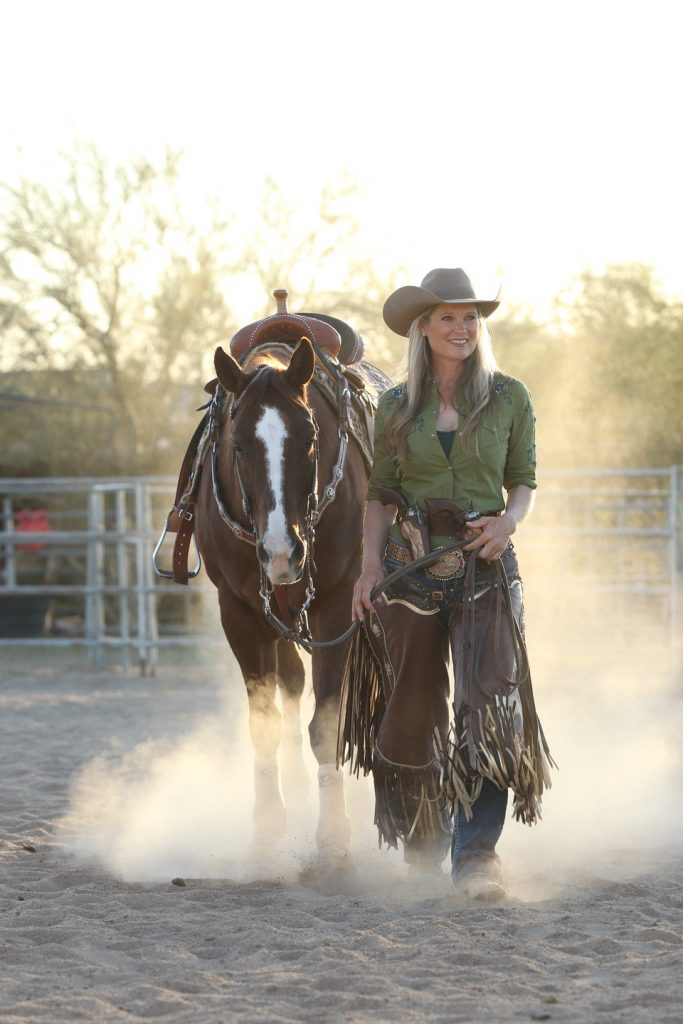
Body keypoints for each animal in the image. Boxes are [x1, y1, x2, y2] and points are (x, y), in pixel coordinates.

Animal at [187, 303, 387, 864]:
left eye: (311, 439)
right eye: (237, 445)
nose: (282, 552)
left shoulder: (337, 605)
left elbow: (328, 723)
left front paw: (334, 833)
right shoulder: (240, 611)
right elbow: (265, 723)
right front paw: (268, 830)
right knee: (292, 686)